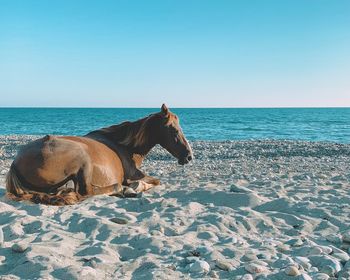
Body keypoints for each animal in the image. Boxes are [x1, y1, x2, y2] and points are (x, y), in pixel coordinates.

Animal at [5, 105, 193, 206]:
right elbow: (155, 181)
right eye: (174, 129)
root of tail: (15, 163)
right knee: (88, 191)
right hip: (83, 158)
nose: (189, 156)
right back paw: (122, 189)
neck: (124, 146)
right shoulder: (135, 175)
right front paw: (134, 187)